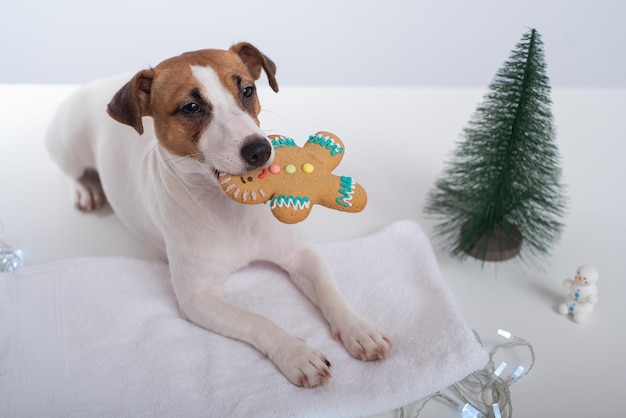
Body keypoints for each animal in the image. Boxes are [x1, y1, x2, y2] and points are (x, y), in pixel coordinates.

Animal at [46, 41, 390, 386]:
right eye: (191, 108)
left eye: (248, 90)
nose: (260, 150)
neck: (232, 210)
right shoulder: (198, 300)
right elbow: (256, 320)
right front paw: (297, 353)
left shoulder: (300, 256)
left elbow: (329, 290)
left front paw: (358, 329)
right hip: (67, 148)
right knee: (73, 173)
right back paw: (85, 190)